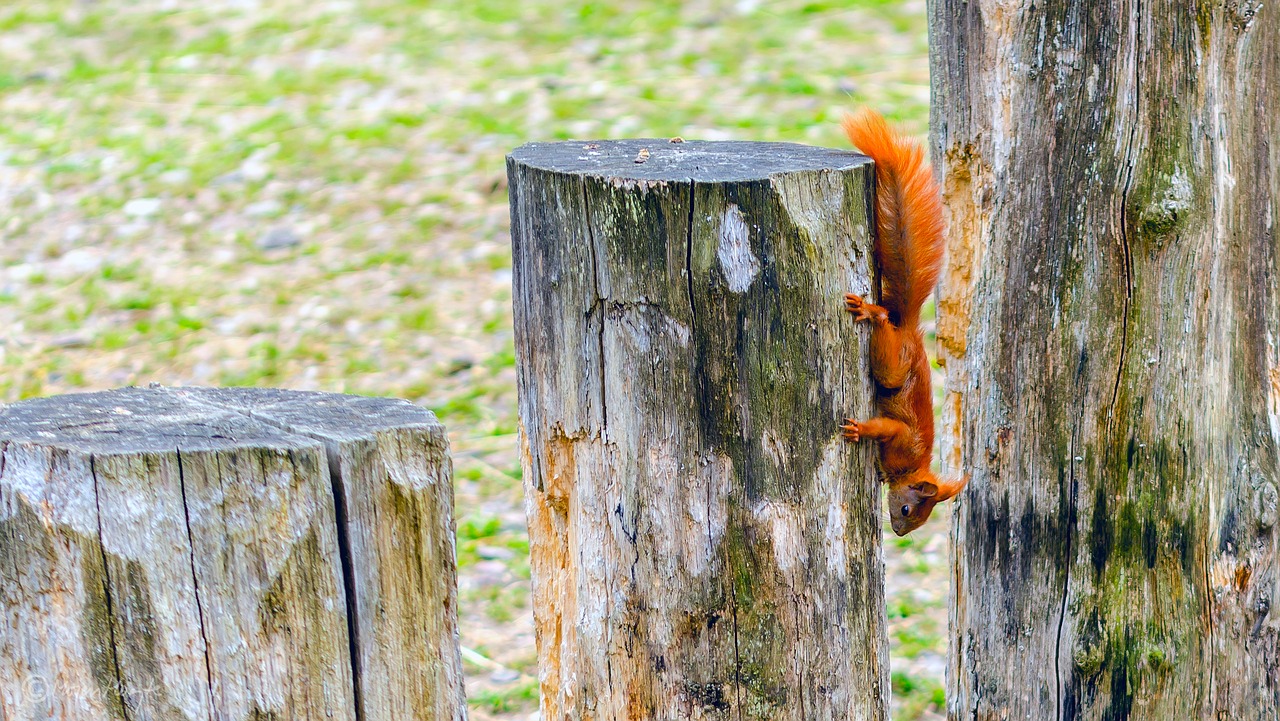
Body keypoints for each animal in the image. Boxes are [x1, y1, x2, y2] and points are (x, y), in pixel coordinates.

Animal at [839, 108, 962, 535]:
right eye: (908, 509)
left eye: (917, 519)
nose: (898, 531)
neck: (913, 467)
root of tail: (907, 327)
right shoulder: (901, 436)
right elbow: (884, 428)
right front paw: (860, 430)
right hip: (895, 364)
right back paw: (872, 314)